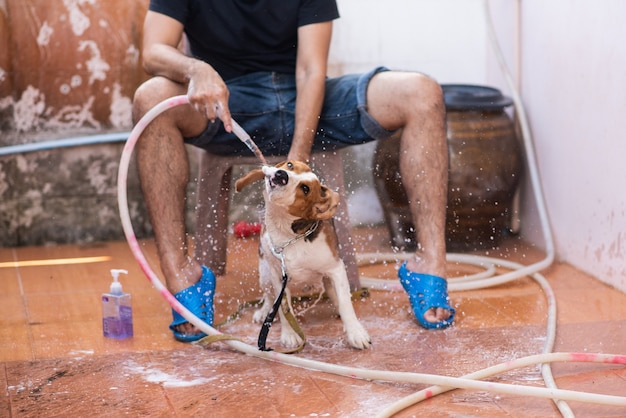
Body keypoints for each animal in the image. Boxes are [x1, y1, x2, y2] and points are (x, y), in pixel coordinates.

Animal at [234, 160, 370, 350]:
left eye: (305, 188)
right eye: (290, 165)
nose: (281, 175)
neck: (288, 235)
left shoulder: (336, 269)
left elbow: (345, 304)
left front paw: (356, 333)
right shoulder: (278, 275)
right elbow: (282, 307)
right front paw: (290, 334)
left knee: (335, 295)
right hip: (265, 275)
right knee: (269, 298)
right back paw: (263, 312)